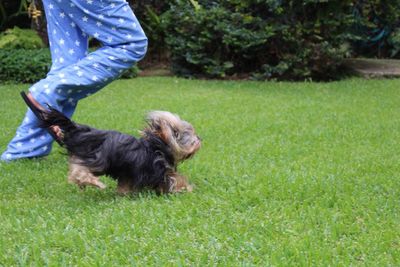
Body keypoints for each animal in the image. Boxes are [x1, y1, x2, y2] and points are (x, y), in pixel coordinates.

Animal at [20, 92, 202, 195]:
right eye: (192, 138)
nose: (200, 139)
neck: (158, 146)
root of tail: (81, 131)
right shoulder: (158, 171)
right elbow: (175, 180)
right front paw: (186, 189)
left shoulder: (129, 173)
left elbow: (125, 185)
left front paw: (123, 193)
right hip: (98, 159)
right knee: (79, 172)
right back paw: (95, 183)